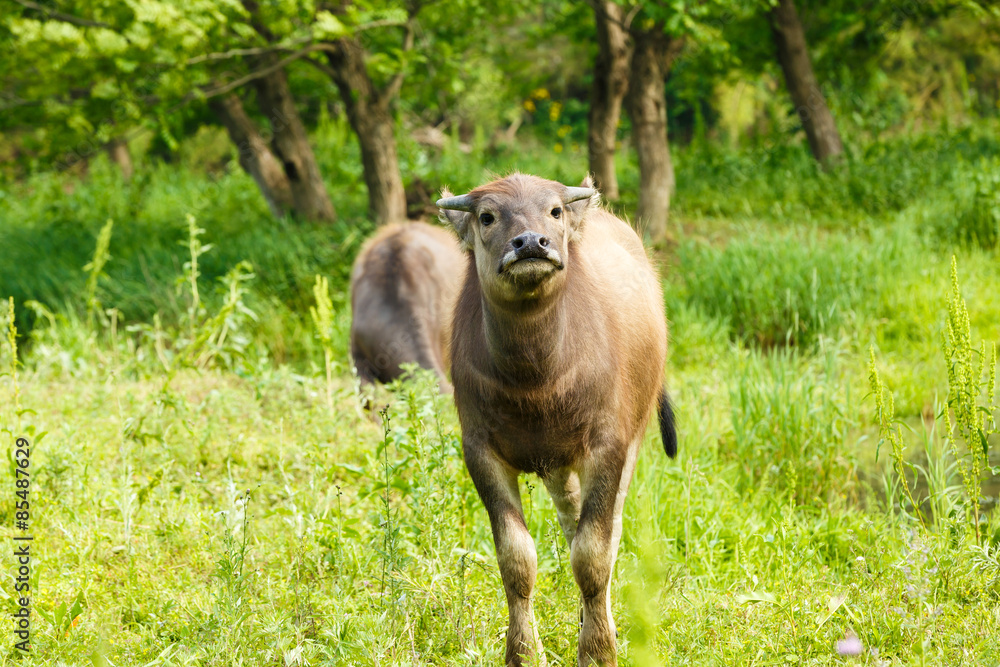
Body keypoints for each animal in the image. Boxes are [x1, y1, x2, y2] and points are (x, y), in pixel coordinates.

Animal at [436, 174, 672, 667]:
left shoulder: (608, 447)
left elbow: (593, 555)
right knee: (570, 517)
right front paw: (523, 652)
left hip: (630, 440)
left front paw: (598, 650)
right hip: (558, 463)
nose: (530, 243)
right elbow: (516, 559)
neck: (536, 379)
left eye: (555, 211)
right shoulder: (480, 453)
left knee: (607, 530)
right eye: (487, 216)